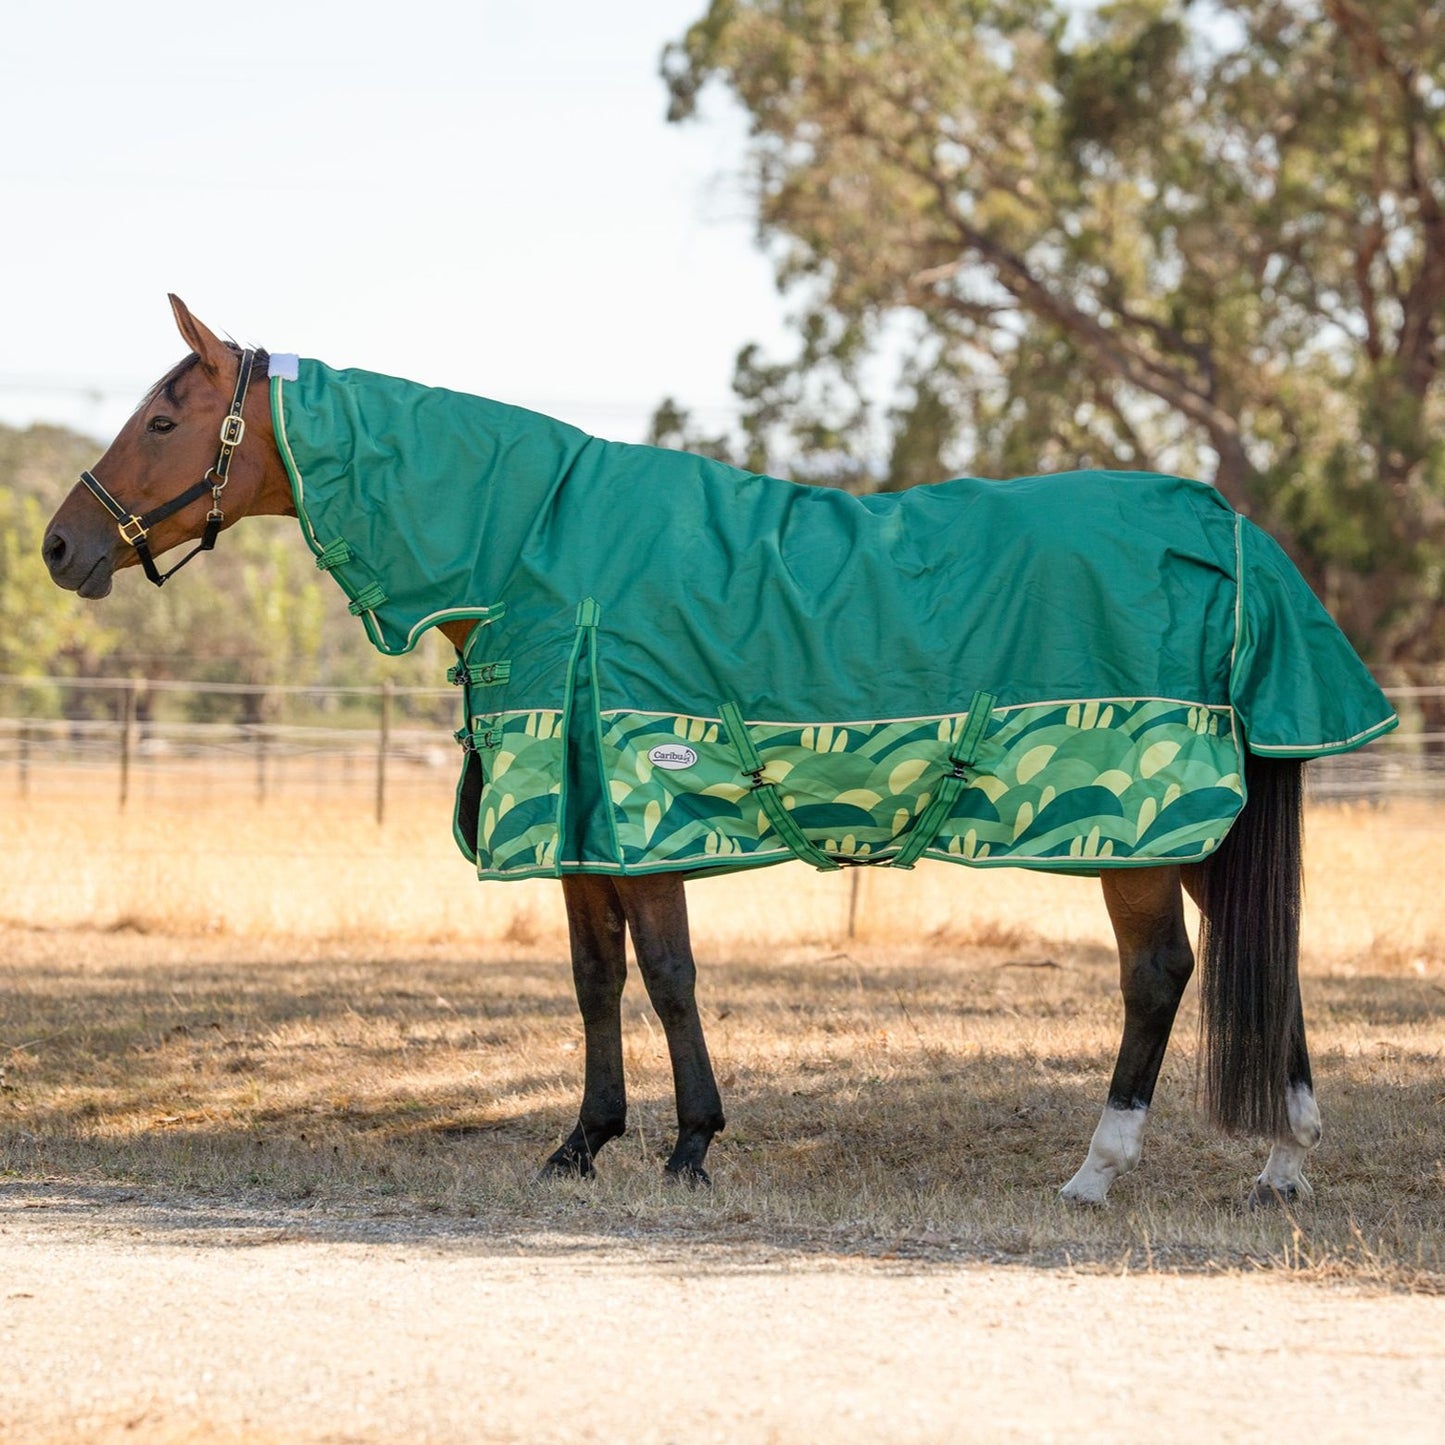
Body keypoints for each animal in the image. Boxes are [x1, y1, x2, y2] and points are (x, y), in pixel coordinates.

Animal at [42, 297, 1397, 1205]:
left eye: (162, 416)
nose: (61, 546)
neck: (530, 547)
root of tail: (1230, 535)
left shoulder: (639, 818)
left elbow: (668, 977)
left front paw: (691, 1142)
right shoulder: (583, 831)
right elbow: (595, 982)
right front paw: (581, 1140)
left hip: (1140, 834)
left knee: (1159, 974)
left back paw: (1095, 1169)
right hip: (1212, 827)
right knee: (1261, 954)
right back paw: (1282, 1159)